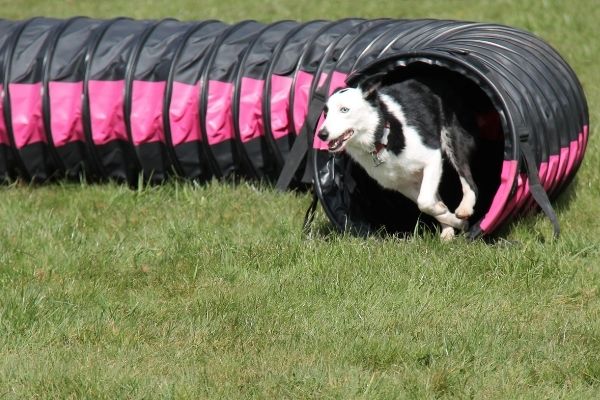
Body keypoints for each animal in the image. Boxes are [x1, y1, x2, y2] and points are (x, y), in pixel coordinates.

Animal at [318, 78, 478, 241]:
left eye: (344, 110)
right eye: (326, 113)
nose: (321, 134)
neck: (381, 138)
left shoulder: (432, 157)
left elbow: (424, 201)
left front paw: (456, 218)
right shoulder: (401, 184)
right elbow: (427, 205)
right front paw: (453, 219)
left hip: (452, 139)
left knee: (468, 180)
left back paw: (465, 208)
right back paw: (447, 231)